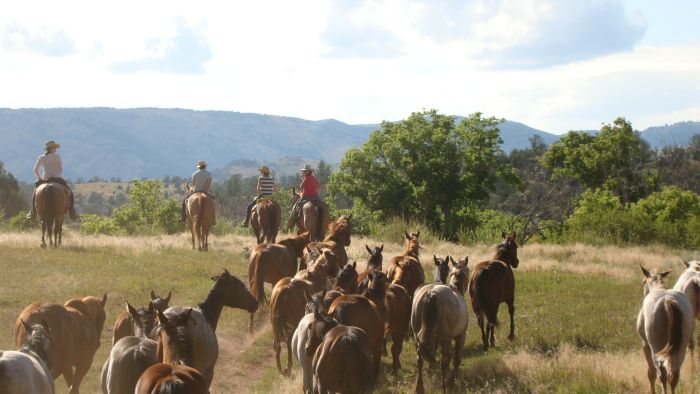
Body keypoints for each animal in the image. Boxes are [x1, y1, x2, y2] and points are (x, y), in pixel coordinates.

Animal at [410, 255, 470, 390]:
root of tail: (431, 294)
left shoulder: (435, 338)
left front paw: (431, 372)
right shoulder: (460, 336)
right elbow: (456, 360)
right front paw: (452, 381)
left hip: (418, 337)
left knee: (420, 357)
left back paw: (420, 386)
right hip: (445, 338)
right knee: (443, 361)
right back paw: (444, 386)